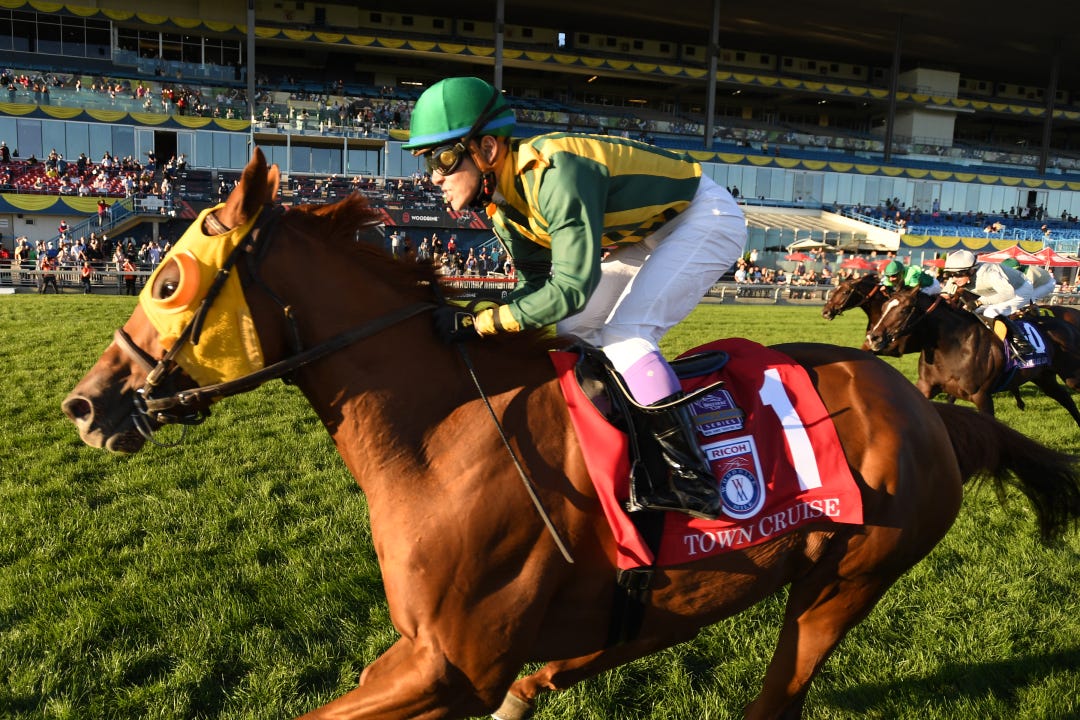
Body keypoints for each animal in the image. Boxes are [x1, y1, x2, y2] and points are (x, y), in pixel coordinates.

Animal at [865, 286, 1080, 426]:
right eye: (883, 308)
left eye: (903, 310)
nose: (873, 338)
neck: (953, 347)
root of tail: (1069, 324)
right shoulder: (926, 386)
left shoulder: (982, 396)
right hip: (1044, 378)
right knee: (1065, 398)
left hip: (1071, 376)